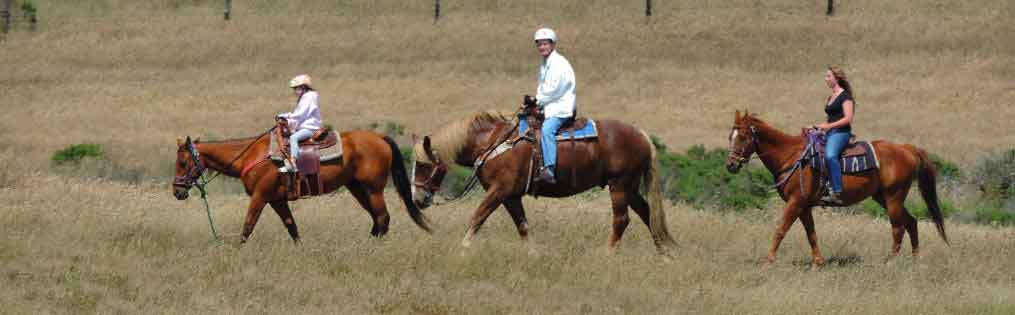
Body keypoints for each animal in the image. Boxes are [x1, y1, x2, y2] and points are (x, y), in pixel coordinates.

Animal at [174, 129, 428, 242]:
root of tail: (380, 137)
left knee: (383, 217)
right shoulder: (277, 200)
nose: (177, 191)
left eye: (183, 162)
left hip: (373, 189)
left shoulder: (260, 196)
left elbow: (248, 226)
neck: (251, 156)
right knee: (376, 218)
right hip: (357, 188)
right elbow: (292, 227)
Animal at [408, 110, 678, 253]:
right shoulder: (511, 196)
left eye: (423, 165)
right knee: (648, 214)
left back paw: (608, 253)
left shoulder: (499, 191)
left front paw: (462, 250)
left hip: (619, 185)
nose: (417, 199)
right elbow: (523, 226)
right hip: (629, 187)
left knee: (621, 220)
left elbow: (477, 217)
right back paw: (664, 254)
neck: (492, 143)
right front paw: (533, 254)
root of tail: (642, 136)